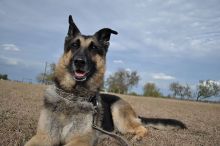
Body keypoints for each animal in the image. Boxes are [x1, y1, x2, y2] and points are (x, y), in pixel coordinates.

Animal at [25, 15, 186, 145]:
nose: (79, 62)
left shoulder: (80, 140)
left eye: (93, 48)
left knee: (142, 128)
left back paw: (137, 137)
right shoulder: (44, 136)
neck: (73, 97)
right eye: (74, 45)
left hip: (119, 114)